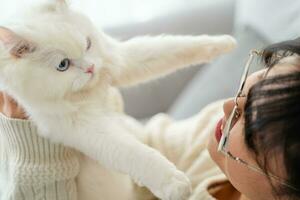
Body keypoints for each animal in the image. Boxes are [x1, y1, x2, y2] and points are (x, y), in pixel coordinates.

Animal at [0, 0, 236, 199]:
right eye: (63, 65)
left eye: (88, 44)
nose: (90, 68)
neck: (88, 91)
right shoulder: (79, 126)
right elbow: (133, 153)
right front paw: (173, 183)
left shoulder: (122, 58)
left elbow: (172, 48)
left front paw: (223, 43)